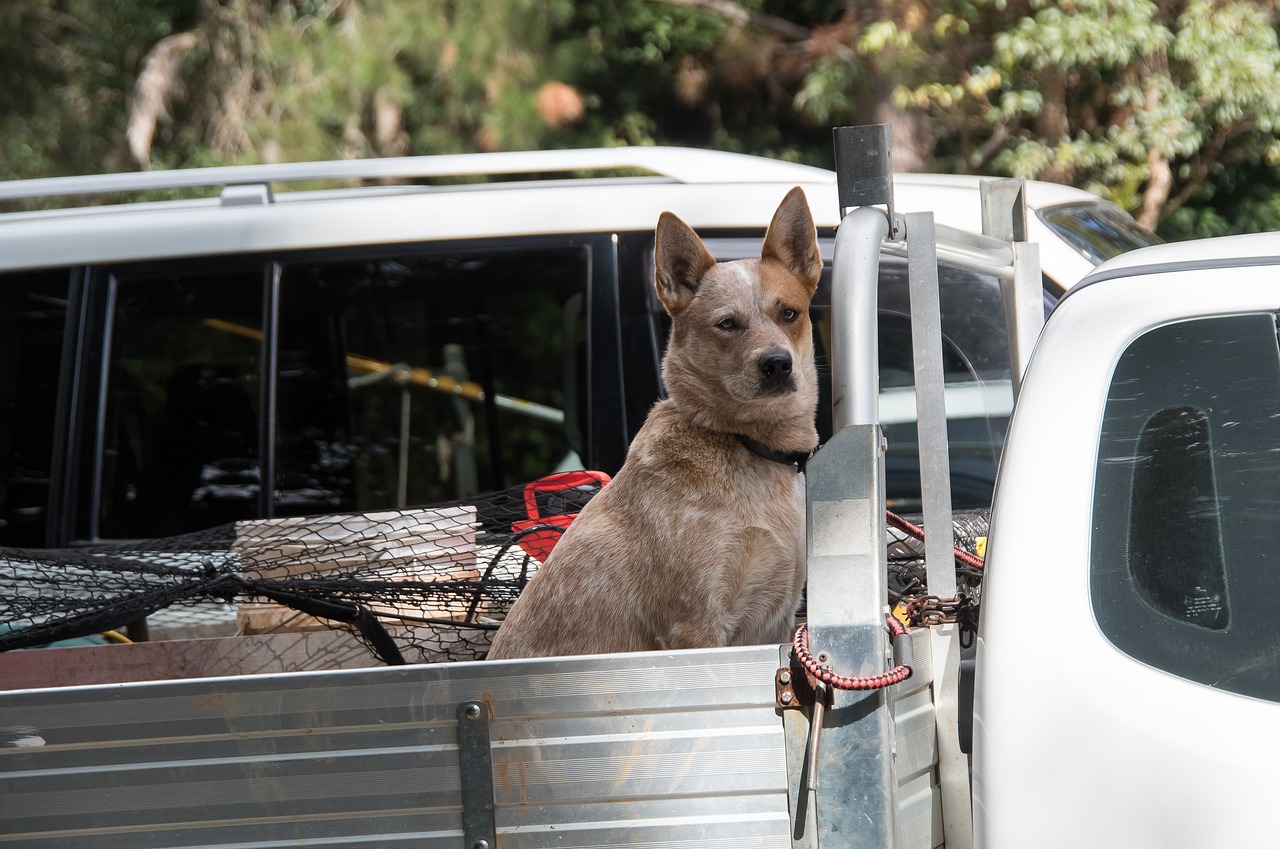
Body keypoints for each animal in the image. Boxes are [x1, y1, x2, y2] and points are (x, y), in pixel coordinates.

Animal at [483, 185, 824, 660]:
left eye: (789, 313)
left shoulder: (778, 615)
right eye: (727, 324)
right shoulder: (696, 624)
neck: (741, 442)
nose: (777, 364)